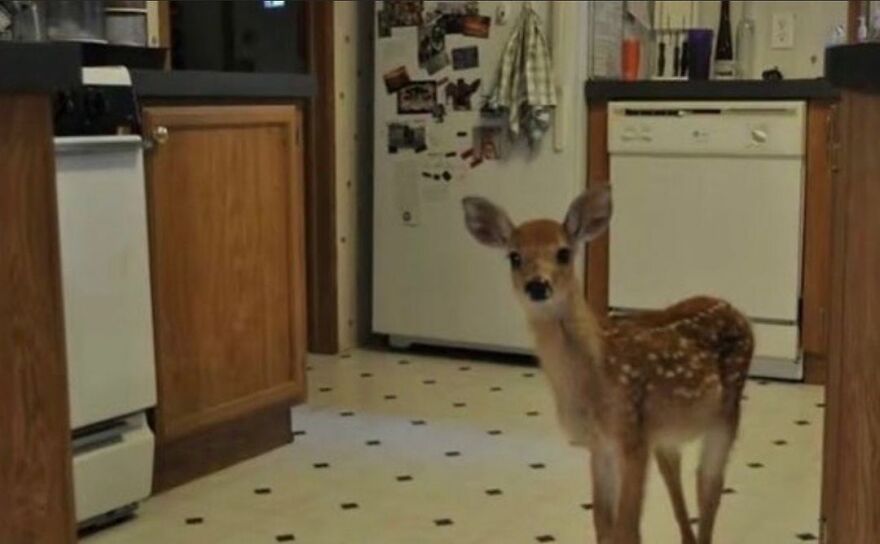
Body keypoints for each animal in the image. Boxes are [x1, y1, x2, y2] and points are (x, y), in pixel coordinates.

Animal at [461, 186, 753, 544]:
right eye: (514, 257)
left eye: (563, 252)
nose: (538, 285)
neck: (595, 376)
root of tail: (735, 310)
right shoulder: (601, 444)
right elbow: (603, 523)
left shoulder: (631, 435)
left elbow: (627, 527)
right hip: (665, 431)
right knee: (675, 473)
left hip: (727, 410)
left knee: (709, 485)